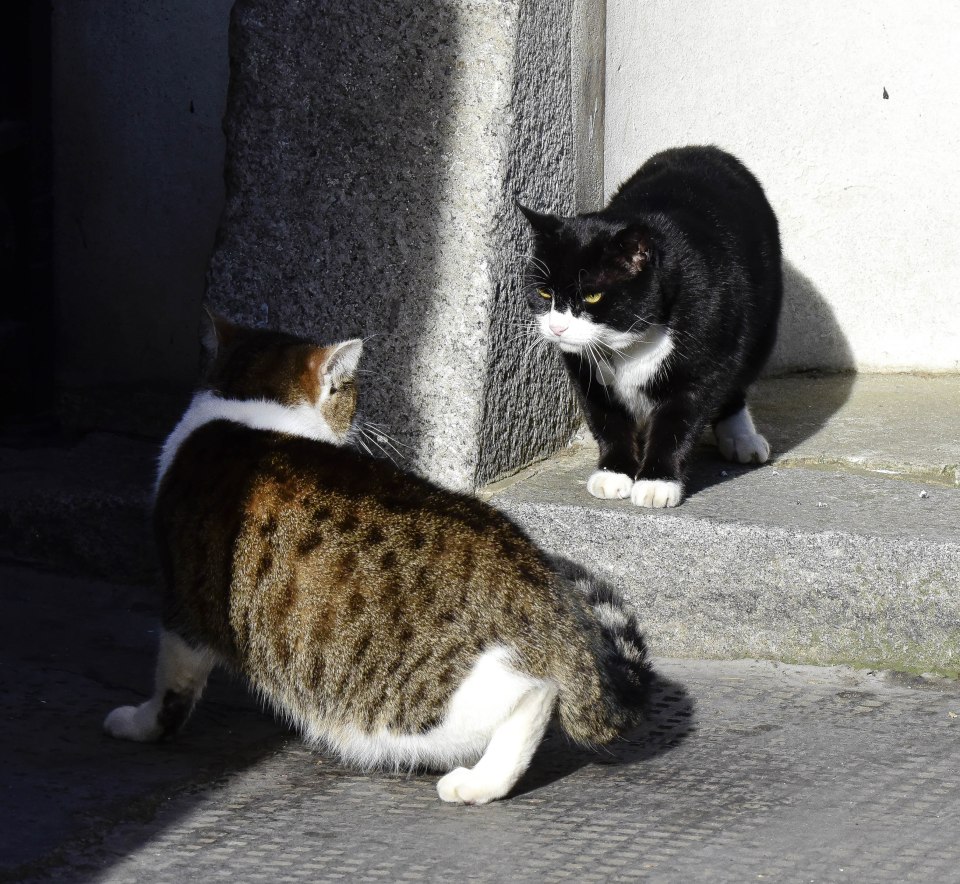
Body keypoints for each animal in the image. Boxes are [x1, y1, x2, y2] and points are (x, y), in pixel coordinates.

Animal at [105, 314, 652, 804]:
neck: (249, 409)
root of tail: (548, 601)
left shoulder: (185, 605)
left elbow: (173, 687)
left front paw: (139, 724)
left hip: (410, 705)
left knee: (532, 696)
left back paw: (477, 784)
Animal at [520, 147, 784, 512]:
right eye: (545, 293)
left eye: (592, 295)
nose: (557, 327)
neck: (628, 343)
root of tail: (708, 149)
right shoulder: (585, 372)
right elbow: (606, 418)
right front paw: (614, 472)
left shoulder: (702, 359)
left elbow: (679, 420)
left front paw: (657, 482)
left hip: (760, 323)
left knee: (739, 376)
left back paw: (740, 436)